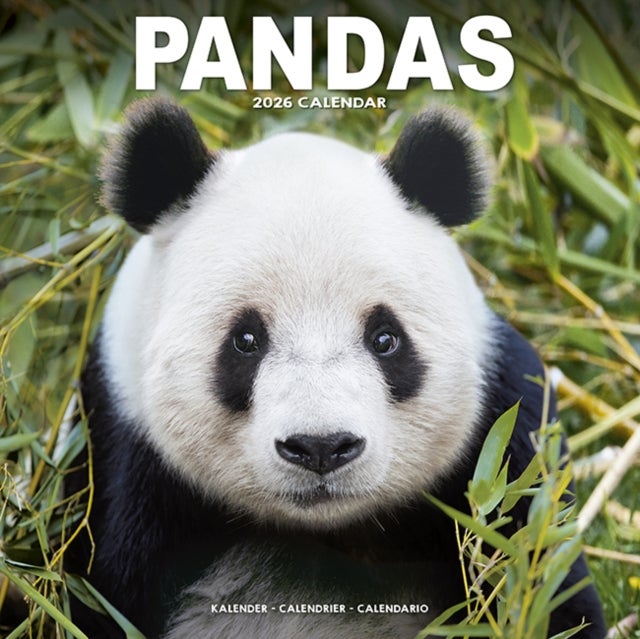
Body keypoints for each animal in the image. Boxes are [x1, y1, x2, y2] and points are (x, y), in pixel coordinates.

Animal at [66, 98, 606, 639]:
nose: (321, 447)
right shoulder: (125, 459)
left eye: (385, 339)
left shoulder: (503, 436)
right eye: (246, 340)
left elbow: (537, 579)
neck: (329, 531)